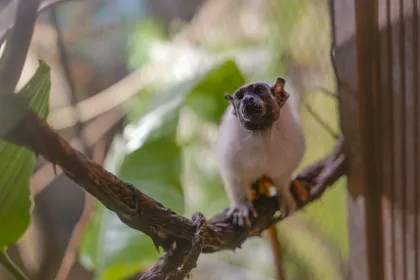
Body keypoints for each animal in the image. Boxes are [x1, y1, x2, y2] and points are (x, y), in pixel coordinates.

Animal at [217, 76, 306, 278]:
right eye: (239, 96)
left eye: (258, 90)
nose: (247, 100)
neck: (262, 133)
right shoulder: (232, 145)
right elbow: (233, 175)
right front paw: (241, 206)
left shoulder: (291, 139)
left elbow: (282, 175)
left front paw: (284, 194)